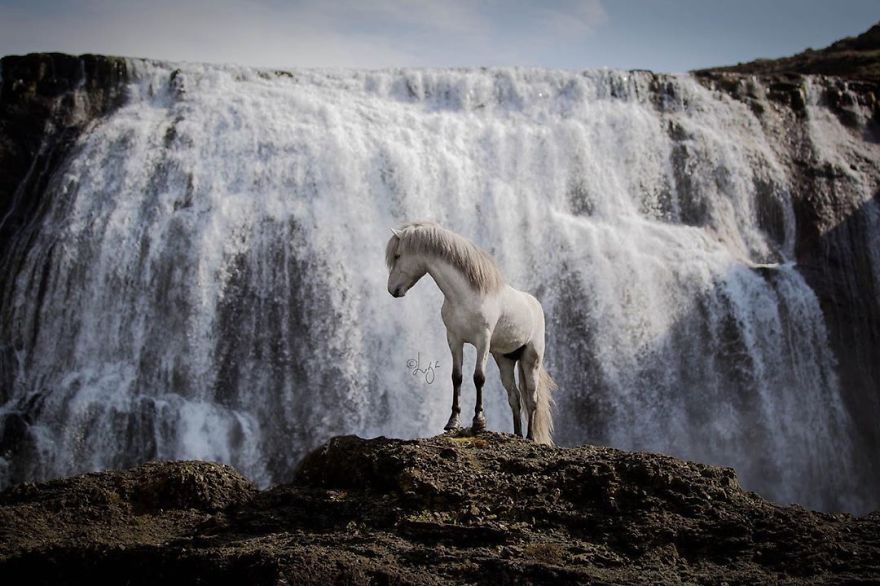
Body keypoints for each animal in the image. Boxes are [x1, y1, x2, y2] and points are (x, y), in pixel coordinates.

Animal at [385, 220, 557, 445]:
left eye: (398, 255)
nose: (392, 290)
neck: (465, 296)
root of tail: (535, 304)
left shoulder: (482, 341)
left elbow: (479, 378)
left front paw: (478, 421)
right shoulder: (454, 339)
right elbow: (457, 377)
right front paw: (452, 422)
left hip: (531, 359)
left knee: (532, 398)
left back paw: (529, 437)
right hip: (505, 360)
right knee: (515, 397)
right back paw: (517, 435)